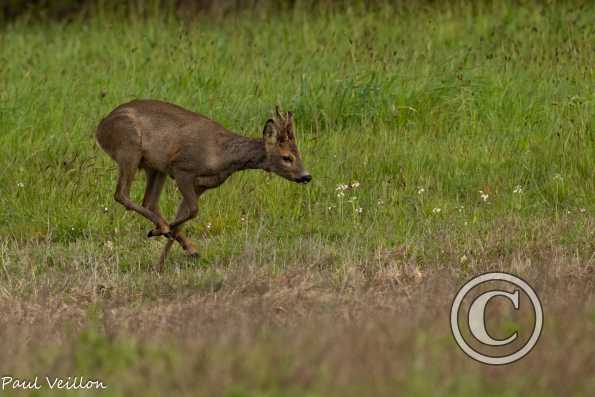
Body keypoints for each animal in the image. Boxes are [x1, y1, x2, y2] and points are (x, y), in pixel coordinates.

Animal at [96, 100, 312, 270]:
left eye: (299, 154)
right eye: (287, 157)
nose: (306, 176)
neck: (222, 156)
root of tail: (100, 129)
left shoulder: (202, 185)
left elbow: (183, 217)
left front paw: (164, 263)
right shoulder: (182, 169)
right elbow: (193, 211)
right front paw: (160, 234)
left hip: (155, 167)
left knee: (149, 201)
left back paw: (178, 240)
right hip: (129, 148)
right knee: (121, 194)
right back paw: (162, 228)